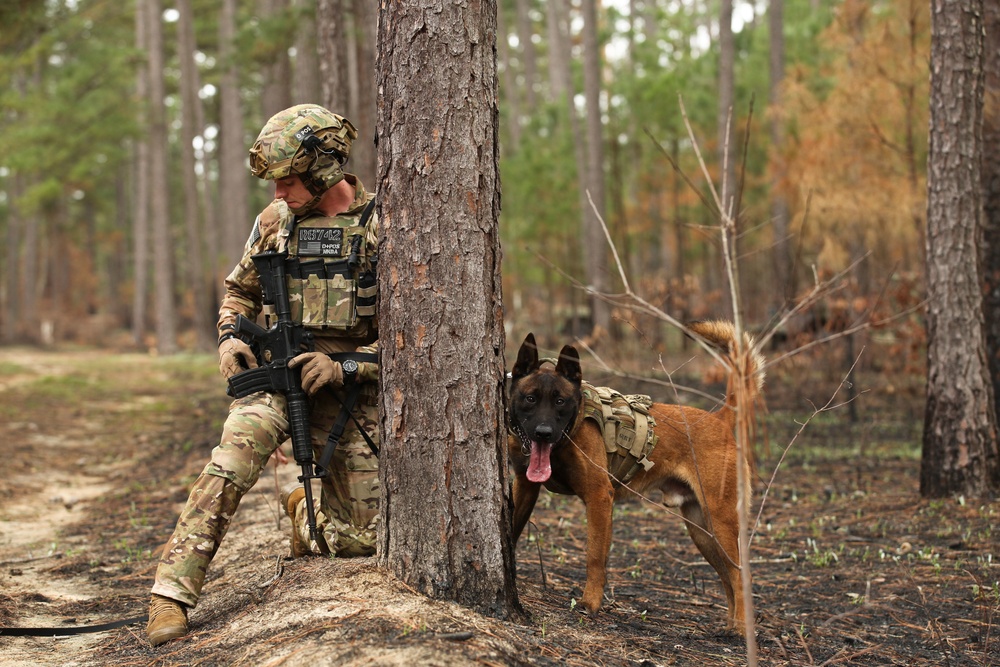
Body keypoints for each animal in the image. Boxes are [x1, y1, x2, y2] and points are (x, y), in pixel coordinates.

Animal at [508, 324, 764, 636]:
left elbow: (595, 557)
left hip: (720, 522)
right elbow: (511, 530)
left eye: (560, 401)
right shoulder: (525, 487)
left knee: (740, 576)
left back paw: (741, 629)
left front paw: (590, 602)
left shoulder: (599, 497)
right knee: (727, 577)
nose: (543, 433)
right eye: (530, 398)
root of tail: (721, 419)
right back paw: (730, 624)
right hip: (702, 531)